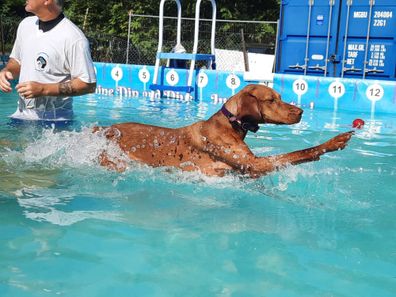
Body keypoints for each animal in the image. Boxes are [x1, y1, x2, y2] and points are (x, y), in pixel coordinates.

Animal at [93, 84, 352, 176]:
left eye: (280, 97)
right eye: (271, 100)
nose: (301, 111)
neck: (230, 125)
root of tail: (104, 129)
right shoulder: (255, 165)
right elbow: (299, 153)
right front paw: (332, 142)